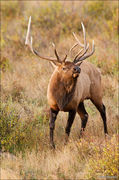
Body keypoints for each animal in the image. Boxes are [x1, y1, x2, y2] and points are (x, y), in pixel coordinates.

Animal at [25, 16, 108, 148]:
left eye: (74, 65)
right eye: (64, 67)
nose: (77, 68)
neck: (61, 99)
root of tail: (98, 70)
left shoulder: (72, 106)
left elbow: (67, 128)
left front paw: (65, 144)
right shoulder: (52, 105)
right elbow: (51, 126)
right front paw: (52, 146)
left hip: (96, 93)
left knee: (102, 110)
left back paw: (106, 134)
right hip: (81, 100)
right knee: (85, 115)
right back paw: (80, 138)